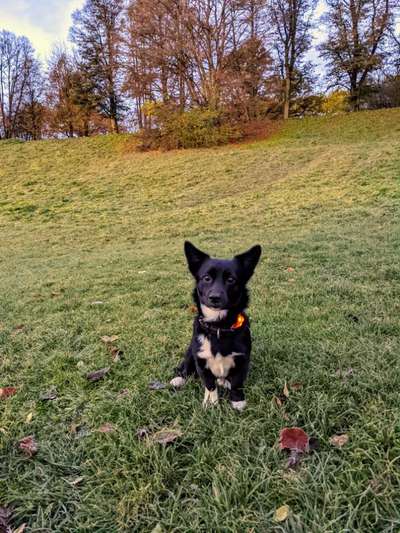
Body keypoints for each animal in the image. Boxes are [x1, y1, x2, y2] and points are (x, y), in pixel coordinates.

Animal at [170, 241, 260, 412]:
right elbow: (210, 385)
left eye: (231, 279)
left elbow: (237, 383)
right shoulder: (201, 361)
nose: (215, 297)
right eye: (206, 278)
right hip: (190, 352)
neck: (218, 326)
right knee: (185, 368)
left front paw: (237, 400)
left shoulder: (242, 360)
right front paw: (211, 403)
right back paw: (179, 378)